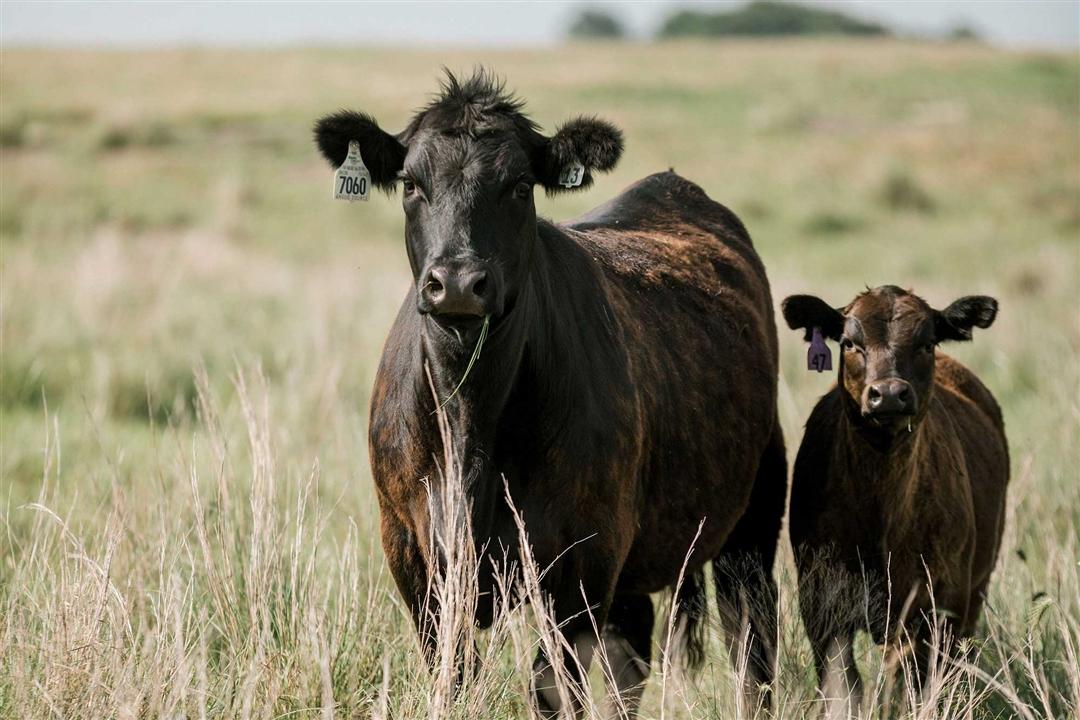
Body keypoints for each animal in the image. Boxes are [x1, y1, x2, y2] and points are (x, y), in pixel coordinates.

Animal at [781, 287, 1006, 716]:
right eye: (849, 343)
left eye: (927, 342)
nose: (887, 395)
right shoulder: (822, 605)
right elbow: (844, 687)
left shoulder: (933, 604)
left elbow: (906, 686)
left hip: (972, 591)